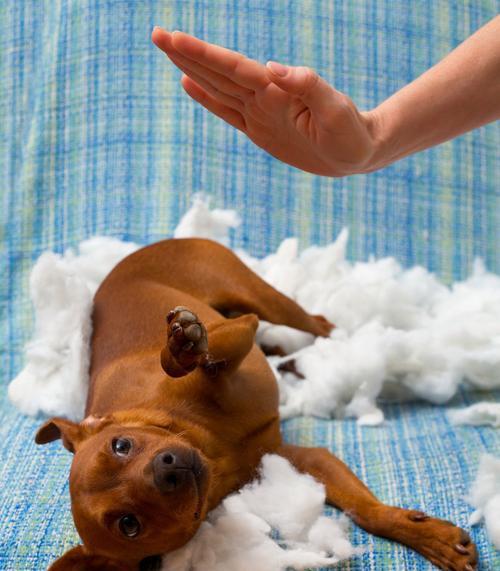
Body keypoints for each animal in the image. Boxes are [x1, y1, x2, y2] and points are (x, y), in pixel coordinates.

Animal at [36, 238, 476, 571]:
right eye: (129, 524)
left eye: (121, 445)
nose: (169, 468)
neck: (213, 447)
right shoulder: (300, 459)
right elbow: (361, 509)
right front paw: (428, 535)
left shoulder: (234, 337)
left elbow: (193, 360)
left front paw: (181, 348)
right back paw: (297, 363)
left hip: (260, 297)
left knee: (315, 322)